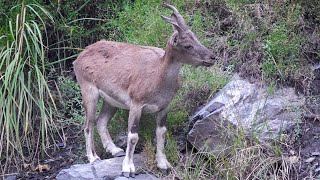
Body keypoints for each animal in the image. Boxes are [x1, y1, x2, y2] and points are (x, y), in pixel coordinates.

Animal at [73, 2, 215, 177]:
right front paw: (128, 168)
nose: (212, 57)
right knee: (88, 124)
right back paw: (93, 157)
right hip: (89, 91)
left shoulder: (164, 106)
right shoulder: (136, 104)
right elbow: (133, 135)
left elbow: (161, 132)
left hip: (110, 101)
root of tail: (79, 57)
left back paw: (115, 150)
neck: (158, 76)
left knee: (101, 121)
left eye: (197, 38)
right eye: (188, 45)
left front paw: (163, 164)